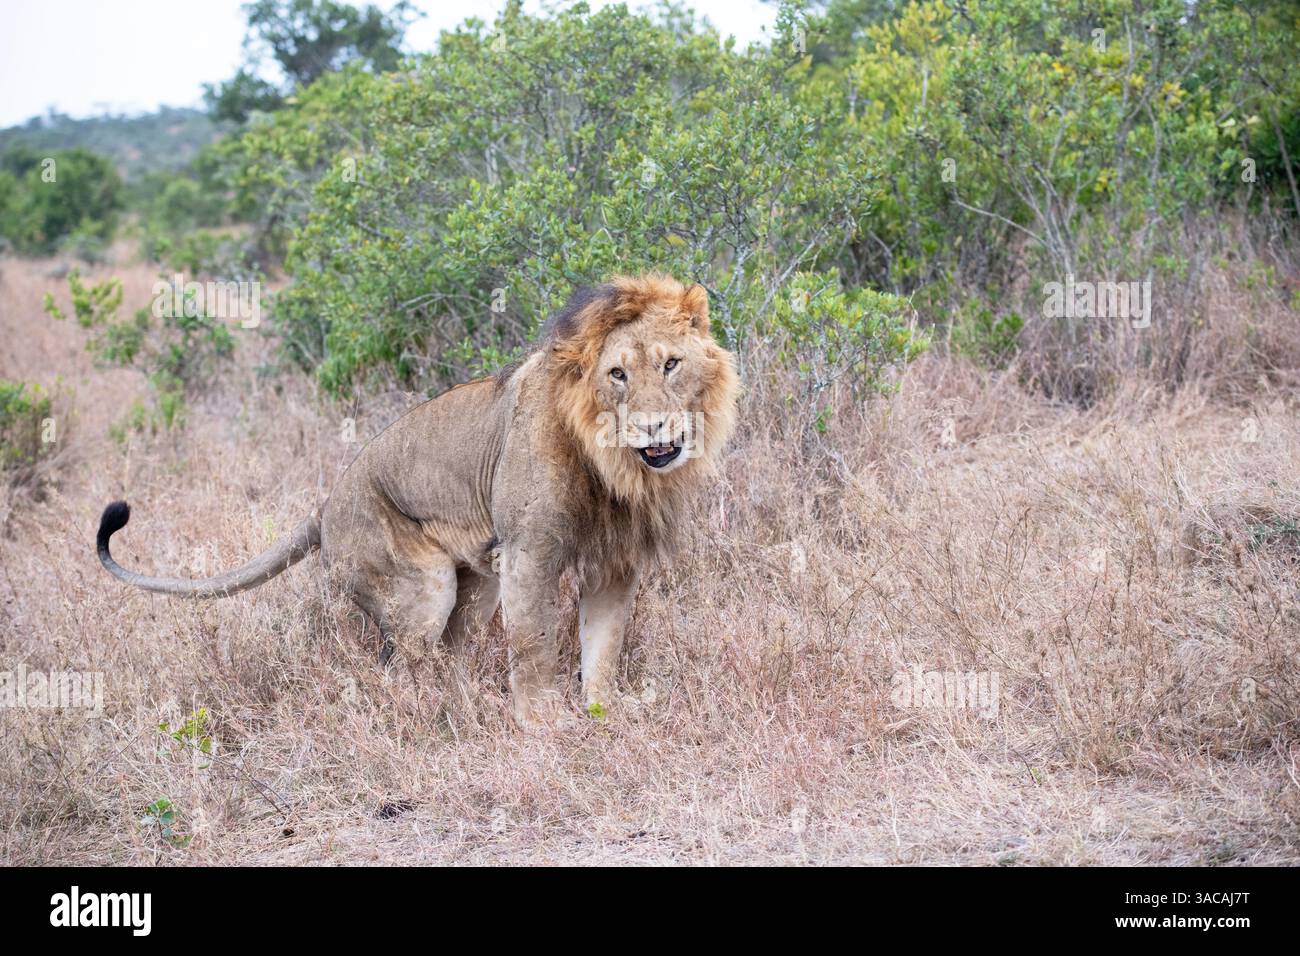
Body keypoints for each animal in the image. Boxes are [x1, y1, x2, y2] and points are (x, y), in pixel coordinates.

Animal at [96, 274, 740, 727]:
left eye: (671, 364)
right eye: (617, 375)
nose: (653, 429)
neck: (617, 469)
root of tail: (325, 505)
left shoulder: (614, 563)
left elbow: (603, 647)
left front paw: (605, 713)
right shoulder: (530, 555)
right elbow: (534, 646)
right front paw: (543, 726)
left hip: (477, 583)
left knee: (448, 655)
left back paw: (460, 703)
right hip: (422, 589)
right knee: (396, 671)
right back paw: (427, 715)